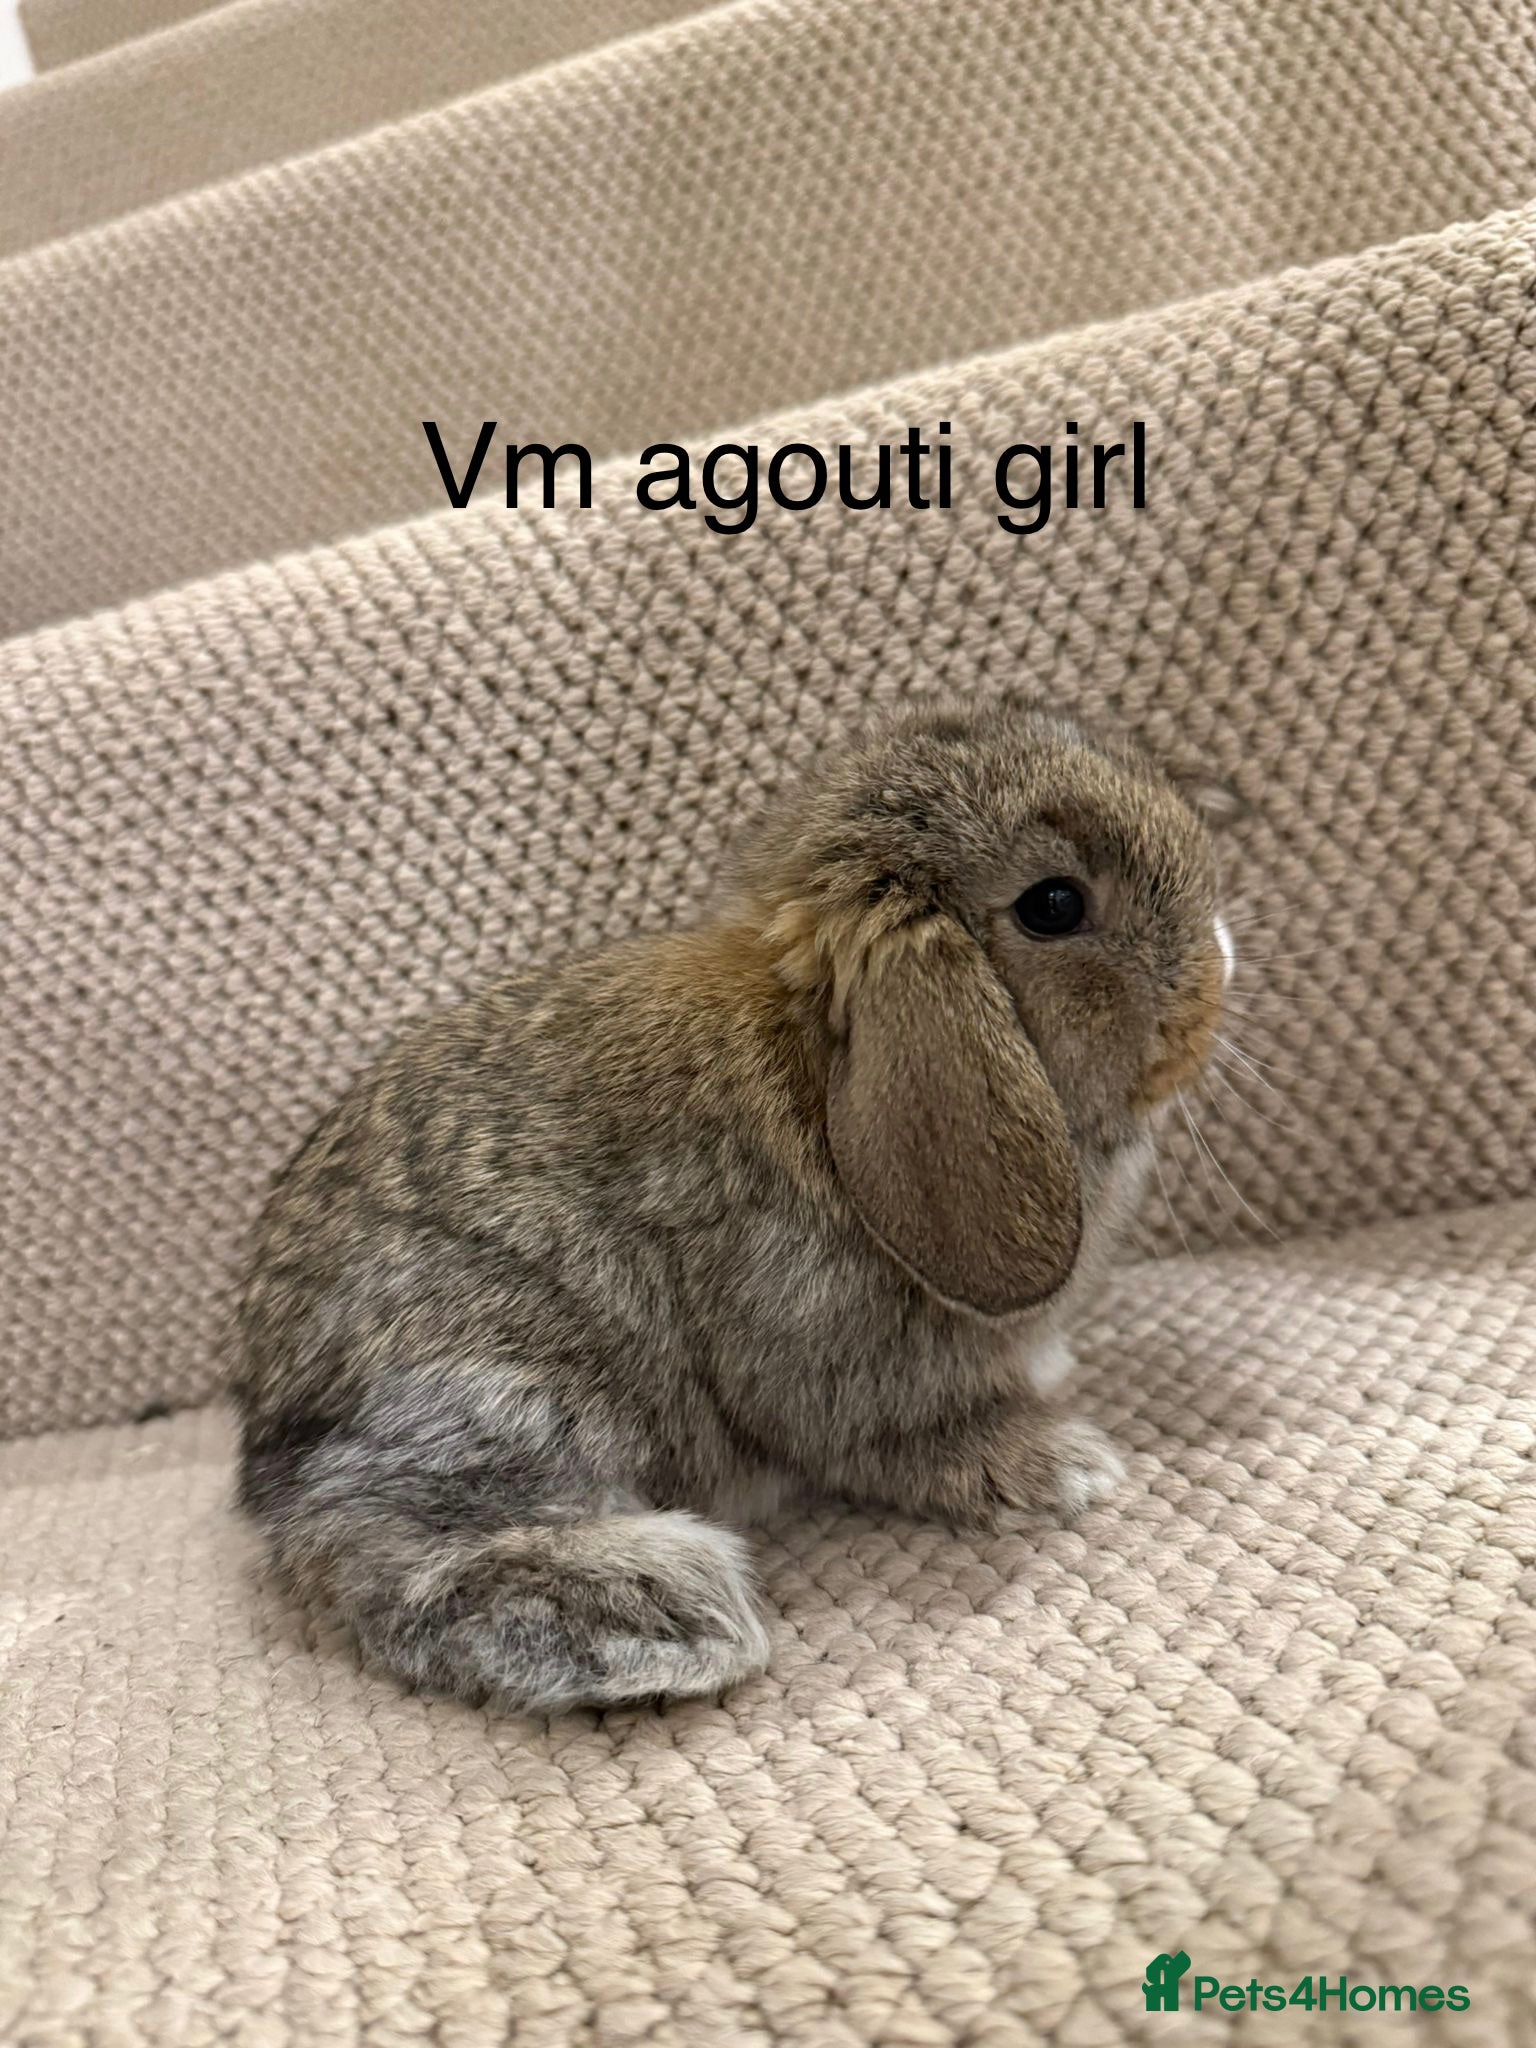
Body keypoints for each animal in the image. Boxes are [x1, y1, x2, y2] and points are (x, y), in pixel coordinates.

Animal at [231, 696, 1231, 1714]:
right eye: (1054, 906)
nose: (1219, 964)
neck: (824, 1067)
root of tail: (274, 1431)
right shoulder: (831, 1356)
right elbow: (899, 1441)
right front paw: (1062, 1465)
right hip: (512, 1385)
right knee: (380, 1550)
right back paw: (675, 1613)